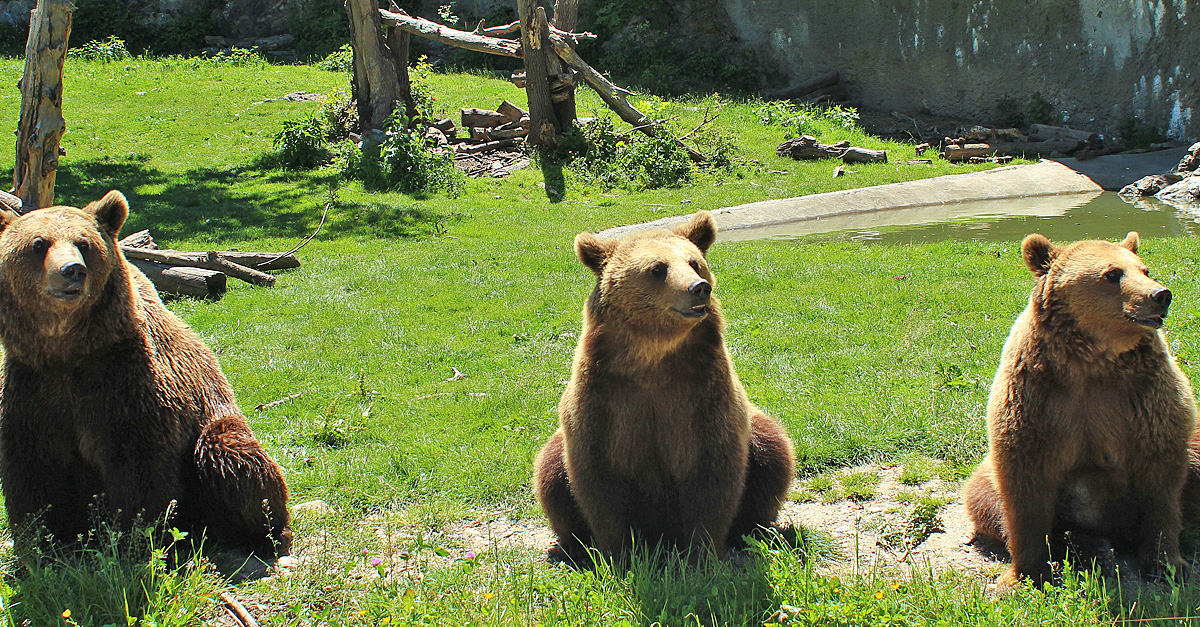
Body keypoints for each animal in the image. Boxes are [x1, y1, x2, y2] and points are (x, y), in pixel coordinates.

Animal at [0, 189, 292, 557]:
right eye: (38, 244)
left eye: (83, 243)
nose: (72, 271)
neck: (69, 350)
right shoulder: (33, 387)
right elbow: (33, 469)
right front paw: (44, 543)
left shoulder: (126, 383)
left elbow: (137, 468)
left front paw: (136, 539)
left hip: (214, 426)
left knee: (232, 458)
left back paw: (259, 533)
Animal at [535, 211, 796, 562]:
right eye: (658, 269)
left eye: (694, 262)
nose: (699, 288)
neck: (653, 361)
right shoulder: (604, 399)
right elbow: (598, 482)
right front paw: (618, 554)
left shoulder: (703, 395)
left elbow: (713, 477)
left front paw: (703, 554)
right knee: (549, 474)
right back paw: (570, 547)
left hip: (758, 437)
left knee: (774, 455)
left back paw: (754, 532)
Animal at [960, 230, 1195, 586]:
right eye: (1112, 273)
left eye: (1145, 269)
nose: (1160, 295)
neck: (1092, 362)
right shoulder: (1037, 399)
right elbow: (1025, 489)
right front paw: (1024, 574)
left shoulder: (1145, 398)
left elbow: (1161, 485)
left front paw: (1167, 564)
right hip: (987, 478)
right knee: (983, 496)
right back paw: (1084, 546)